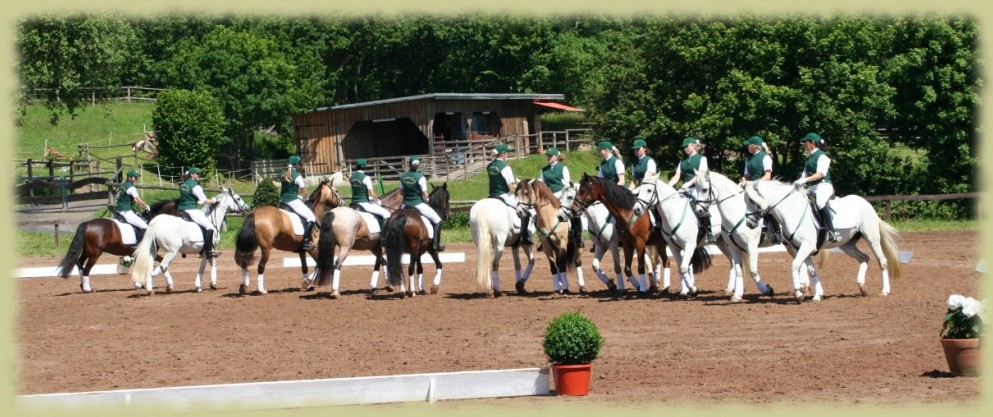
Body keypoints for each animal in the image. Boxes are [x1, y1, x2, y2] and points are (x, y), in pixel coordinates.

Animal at [692, 170, 782, 302]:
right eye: (696, 188)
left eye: (704, 189)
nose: (698, 211)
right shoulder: (734, 247)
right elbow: (739, 270)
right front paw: (737, 295)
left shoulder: (752, 246)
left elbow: (752, 271)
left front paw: (767, 290)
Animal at [743, 179, 902, 303]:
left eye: (752, 200)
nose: (749, 224)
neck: (792, 211)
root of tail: (866, 204)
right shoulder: (801, 248)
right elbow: (811, 270)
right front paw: (817, 295)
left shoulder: (806, 246)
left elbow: (795, 265)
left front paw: (799, 293)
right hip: (847, 245)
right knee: (864, 258)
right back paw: (862, 287)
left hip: (871, 237)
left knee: (882, 261)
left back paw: (885, 291)